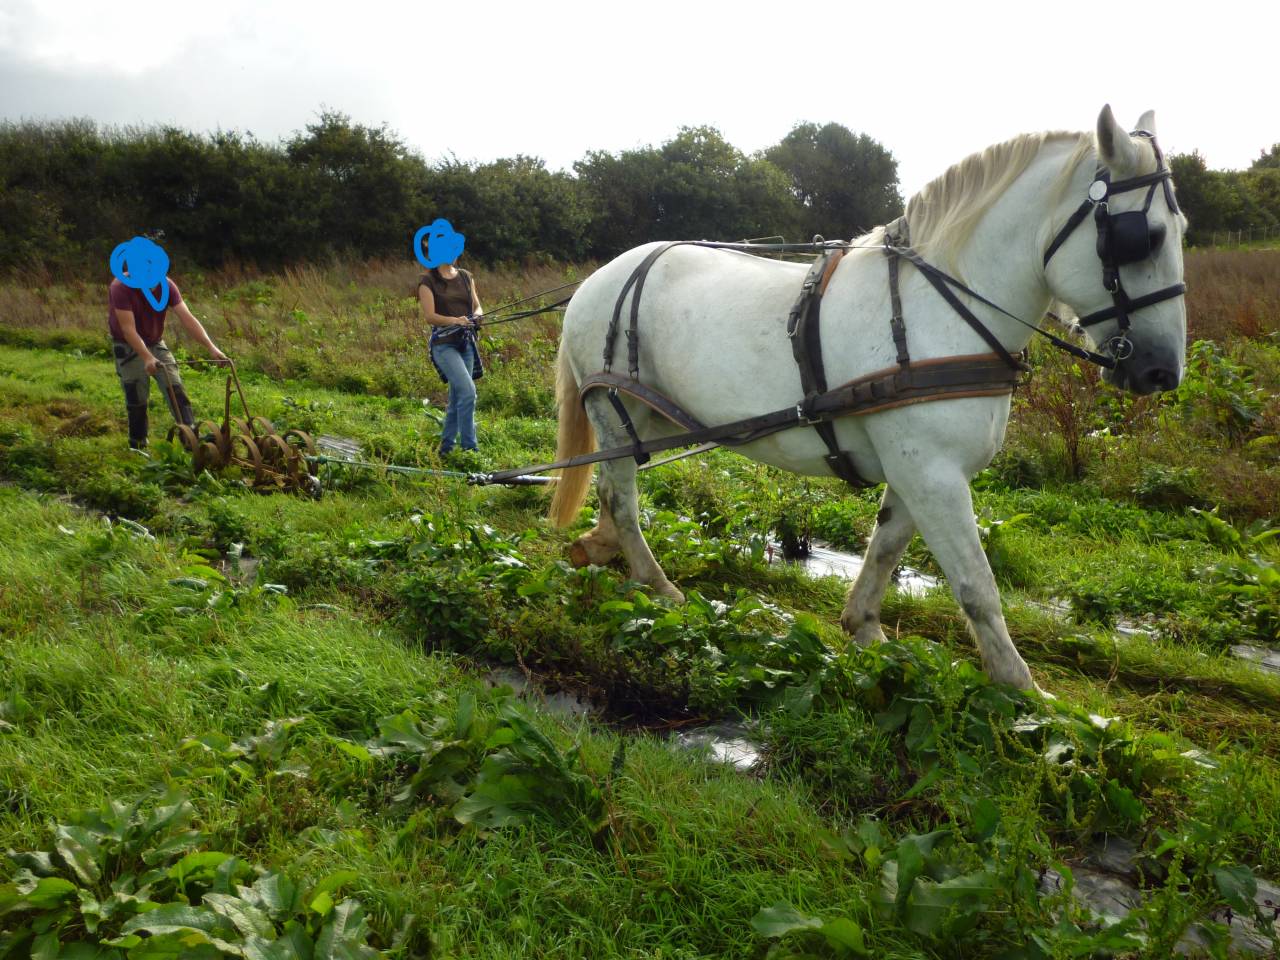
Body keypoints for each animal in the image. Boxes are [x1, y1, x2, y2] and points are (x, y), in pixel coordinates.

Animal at [547, 105, 1187, 691]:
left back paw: (600, 547)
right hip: (615, 409)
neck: (941, 306)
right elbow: (976, 585)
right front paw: (1021, 689)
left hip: (652, 418)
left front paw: (866, 632)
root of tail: (601, 276)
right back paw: (656, 584)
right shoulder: (934, 475)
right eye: (1141, 237)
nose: (1162, 371)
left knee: (614, 486)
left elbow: (884, 550)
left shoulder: (916, 471)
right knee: (622, 496)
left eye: (1178, 232)